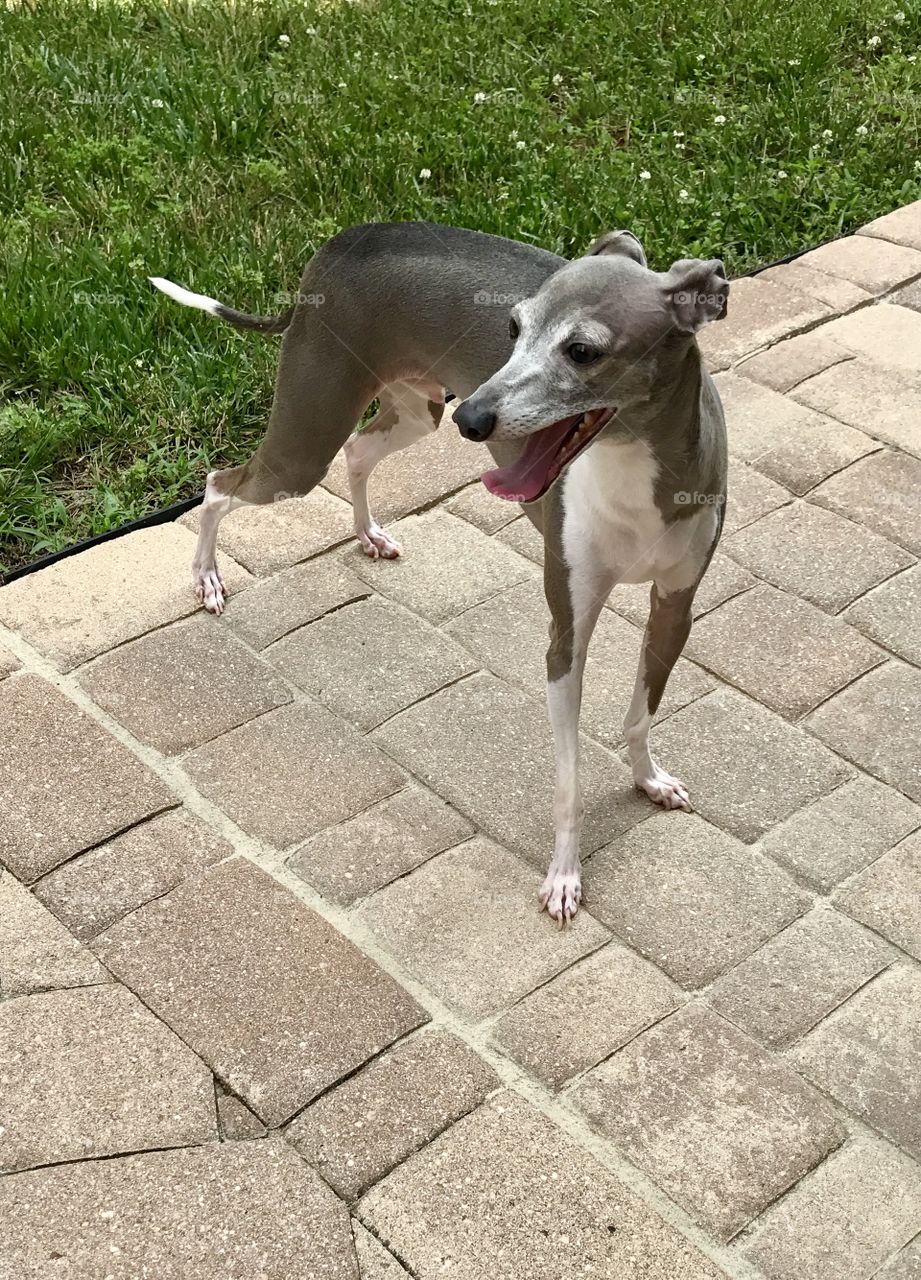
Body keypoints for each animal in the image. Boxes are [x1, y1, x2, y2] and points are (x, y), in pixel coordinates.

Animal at [149, 220, 726, 921]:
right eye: (512, 326)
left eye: (583, 351)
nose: (472, 419)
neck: (633, 471)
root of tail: (334, 250)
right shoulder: (567, 631)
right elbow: (567, 777)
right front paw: (564, 876)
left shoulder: (675, 608)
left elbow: (640, 714)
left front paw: (648, 781)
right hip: (307, 445)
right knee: (217, 484)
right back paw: (207, 577)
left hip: (413, 411)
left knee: (357, 452)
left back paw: (368, 534)